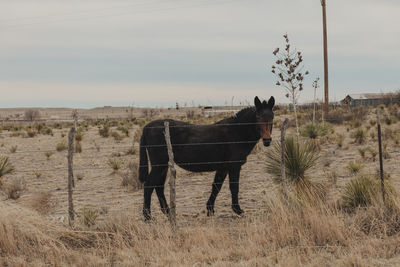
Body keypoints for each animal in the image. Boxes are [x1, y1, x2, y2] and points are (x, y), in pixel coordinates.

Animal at [138, 96, 276, 220]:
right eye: (258, 117)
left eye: (272, 117)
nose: (267, 140)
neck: (236, 132)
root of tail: (147, 127)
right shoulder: (234, 166)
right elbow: (234, 187)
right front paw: (238, 210)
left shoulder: (223, 168)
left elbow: (216, 187)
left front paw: (210, 210)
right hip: (159, 165)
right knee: (149, 186)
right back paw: (148, 216)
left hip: (163, 166)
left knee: (158, 187)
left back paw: (167, 213)